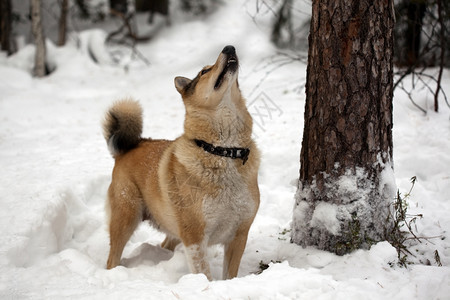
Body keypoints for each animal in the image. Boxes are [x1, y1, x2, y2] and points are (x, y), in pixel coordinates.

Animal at [103, 45, 260, 280]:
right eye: (204, 71)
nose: (229, 47)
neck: (223, 152)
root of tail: (128, 147)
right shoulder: (194, 237)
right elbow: (204, 274)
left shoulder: (239, 234)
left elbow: (230, 275)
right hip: (126, 216)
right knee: (112, 258)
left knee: (165, 243)